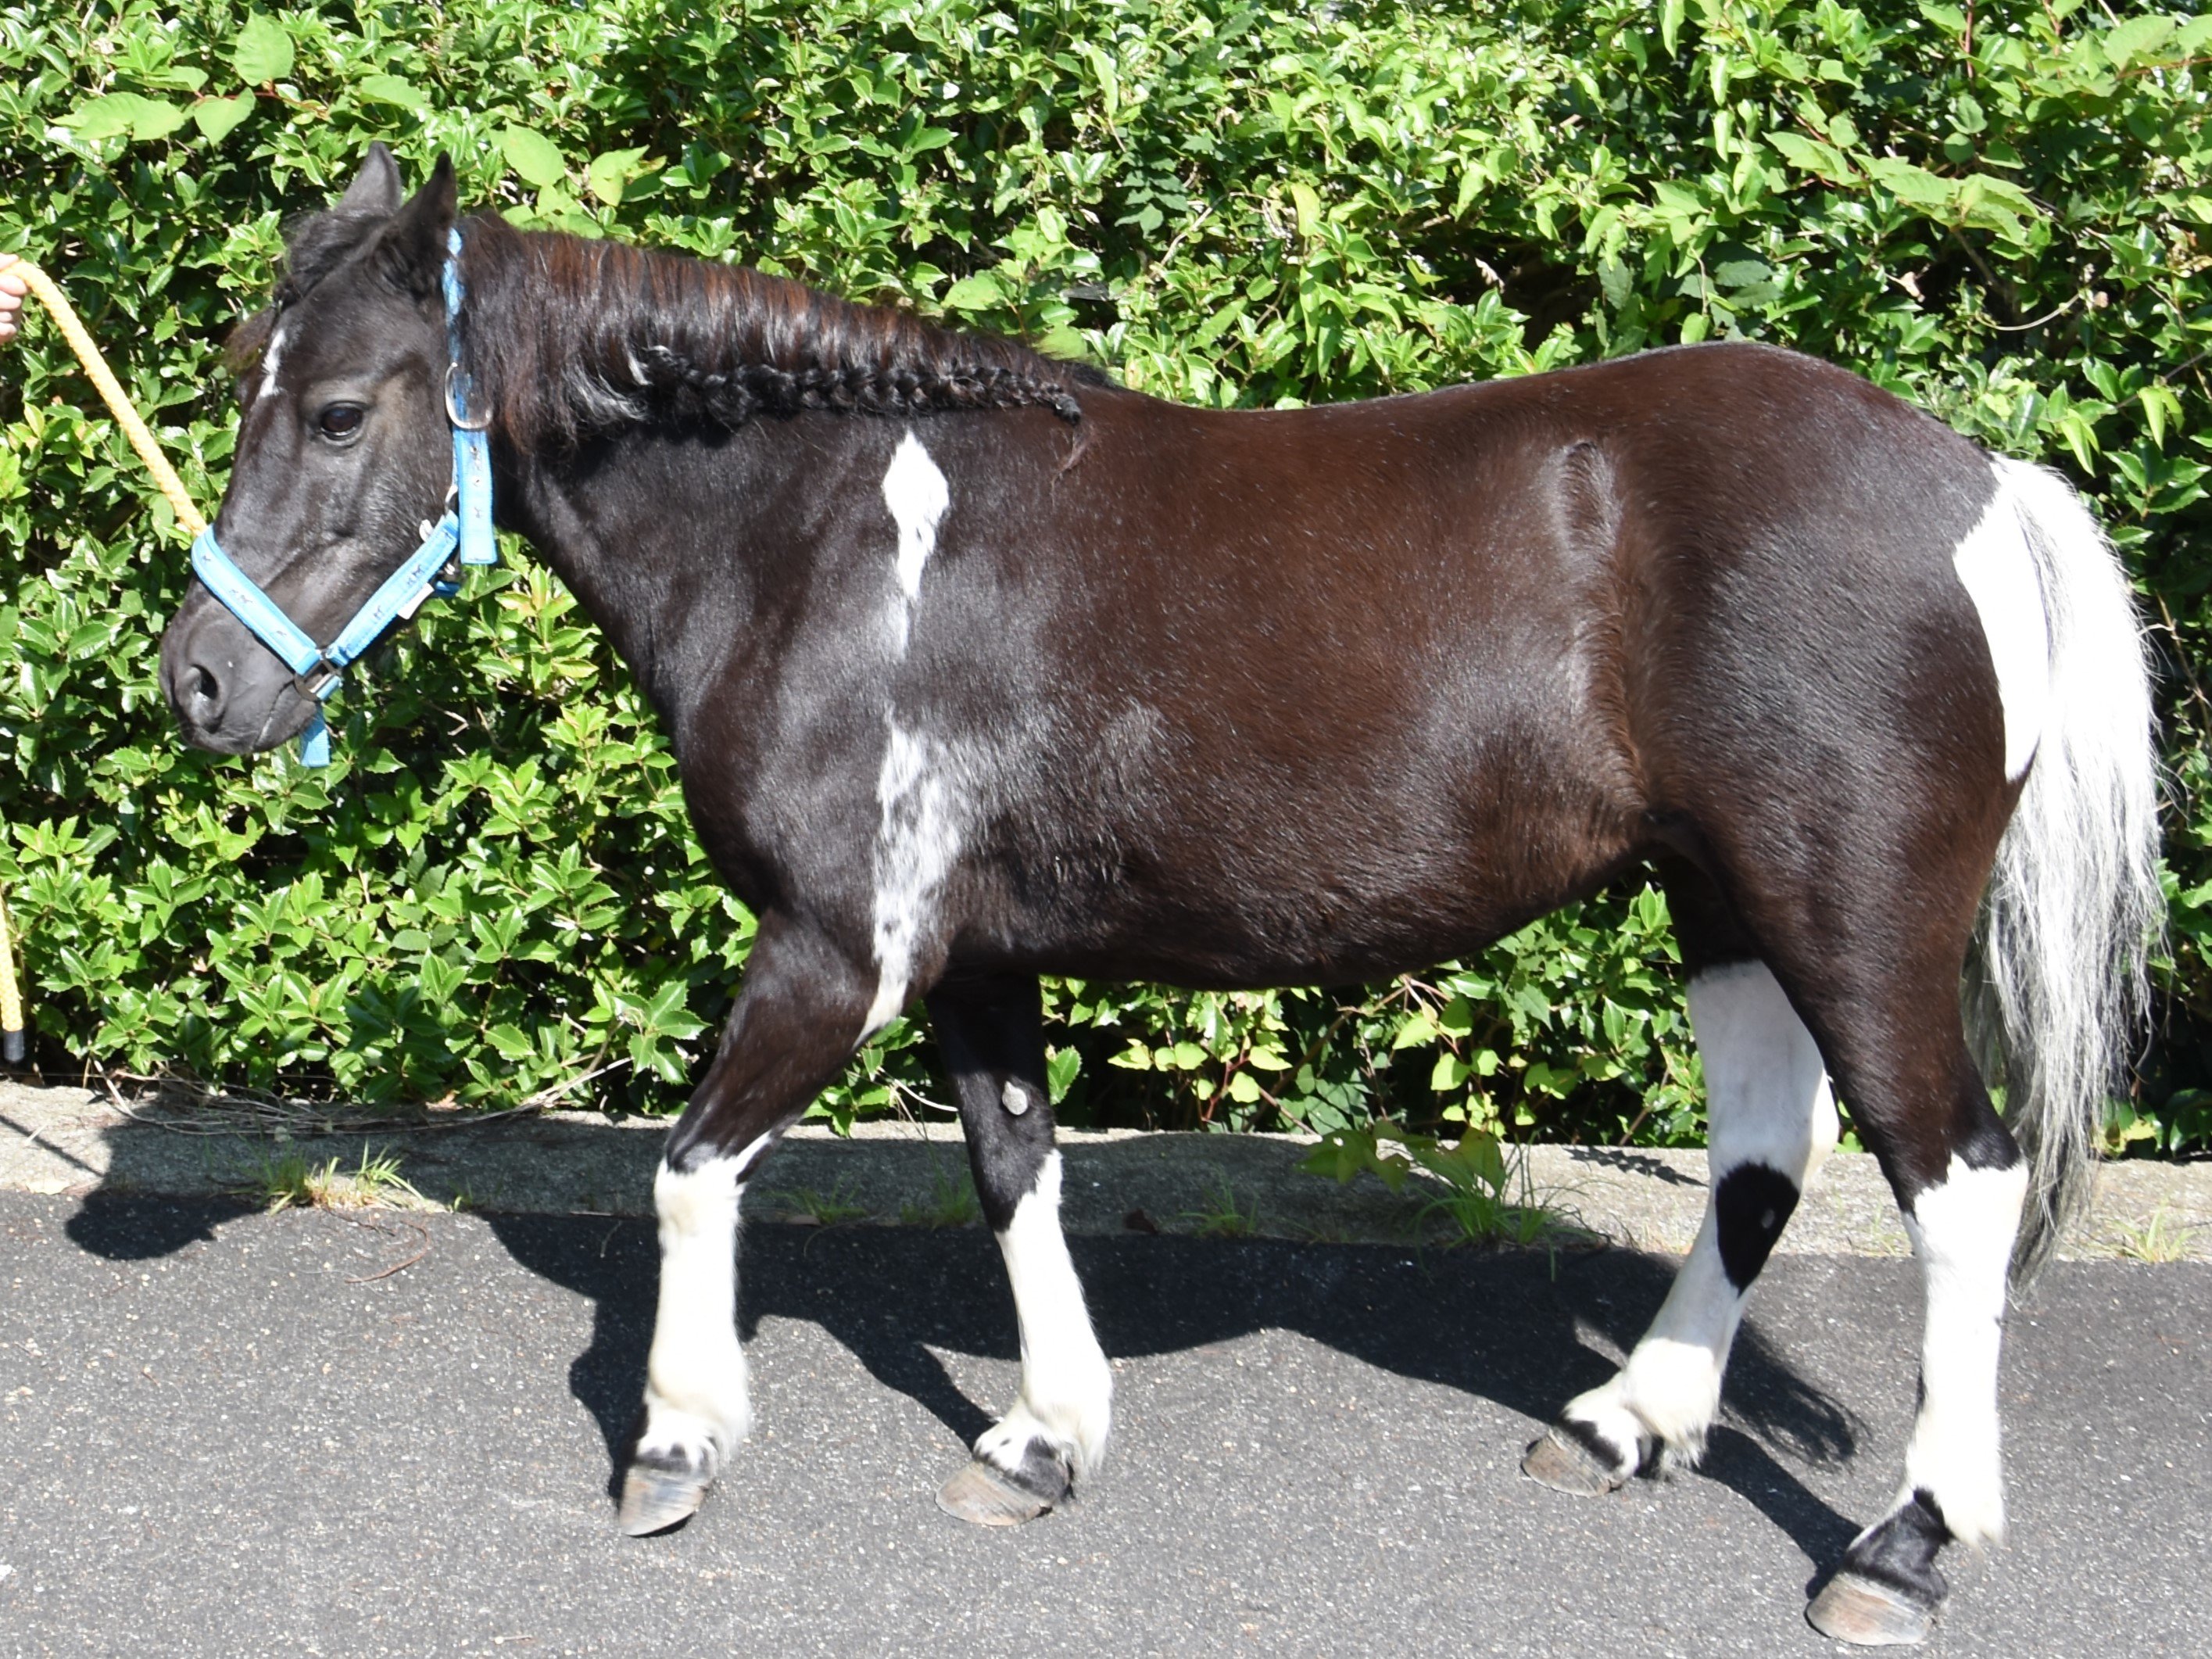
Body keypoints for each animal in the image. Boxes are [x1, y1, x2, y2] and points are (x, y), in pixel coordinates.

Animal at [160, 145, 2159, 1654]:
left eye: (332, 407)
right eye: (245, 374)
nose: (197, 684)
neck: (826, 540)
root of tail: (1976, 481)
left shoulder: (838, 951)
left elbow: (691, 1166)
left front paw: (675, 1438)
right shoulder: (972, 960)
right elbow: (1014, 1173)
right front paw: (1041, 1439)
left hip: (1850, 917)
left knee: (1956, 1181)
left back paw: (1901, 1544)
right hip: (1720, 899)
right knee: (1757, 1161)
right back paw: (1629, 1424)